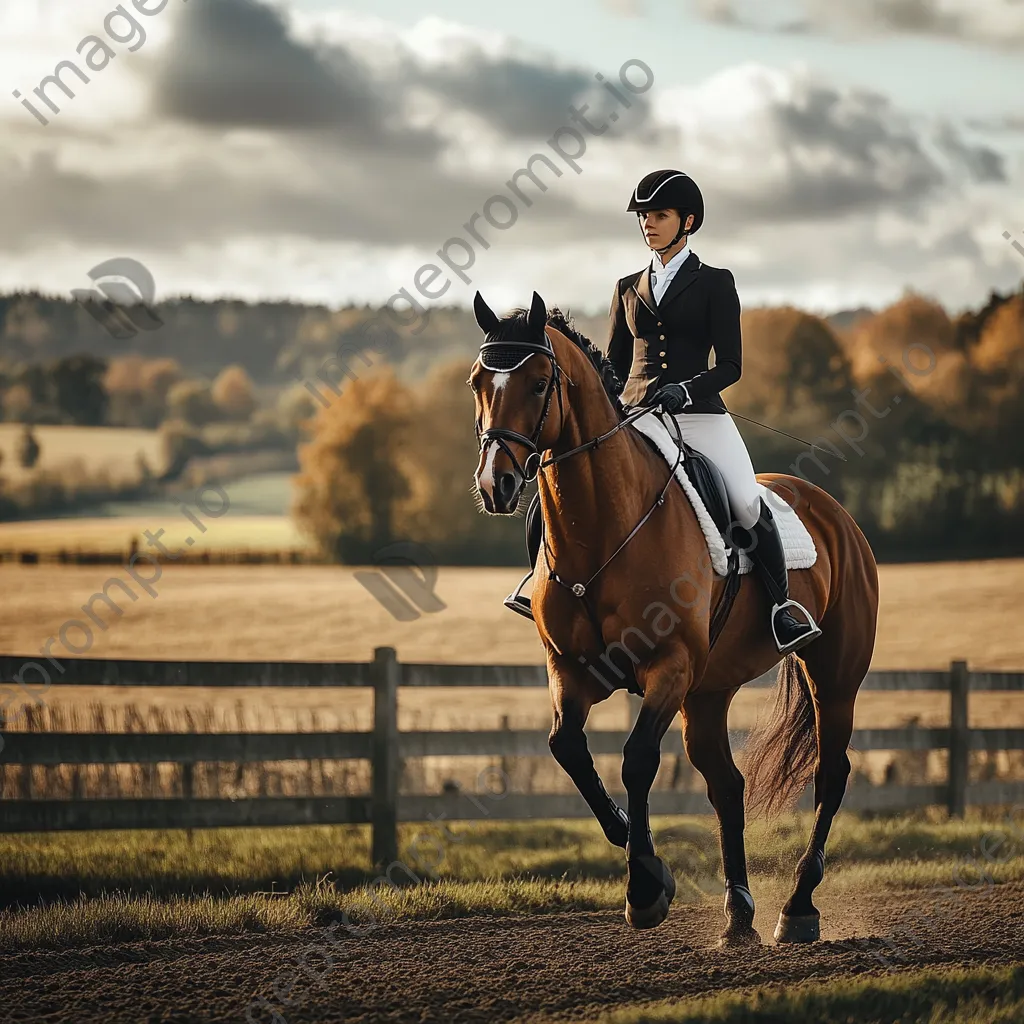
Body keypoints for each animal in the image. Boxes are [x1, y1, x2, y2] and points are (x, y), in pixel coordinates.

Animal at [468, 288, 876, 942]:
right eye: (478, 382)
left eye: (537, 383)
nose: (496, 485)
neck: (602, 529)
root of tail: (831, 509)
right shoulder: (571, 670)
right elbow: (567, 748)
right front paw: (638, 853)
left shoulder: (669, 666)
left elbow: (636, 760)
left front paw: (646, 888)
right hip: (709, 691)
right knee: (726, 783)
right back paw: (739, 914)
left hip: (833, 677)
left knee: (830, 775)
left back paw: (798, 907)